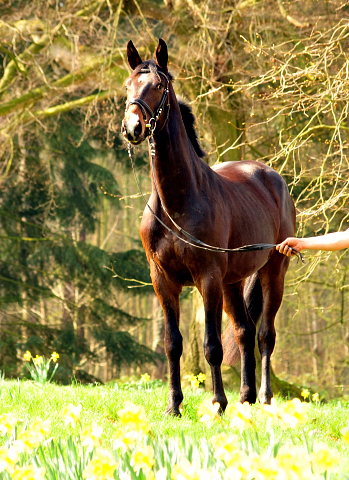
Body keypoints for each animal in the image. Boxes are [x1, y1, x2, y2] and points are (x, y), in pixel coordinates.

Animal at [120, 39, 294, 414]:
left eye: (158, 86)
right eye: (128, 85)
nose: (133, 128)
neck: (178, 201)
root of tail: (270, 176)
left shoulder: (208, 277)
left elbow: (212, 345)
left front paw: (216, 402)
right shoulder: (163, 280)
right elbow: (172, 343)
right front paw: (174, 406)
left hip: (274, 270)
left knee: (264, 334)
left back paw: (265, 398)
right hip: (233, 282)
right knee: (243, 331)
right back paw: (245, 398)